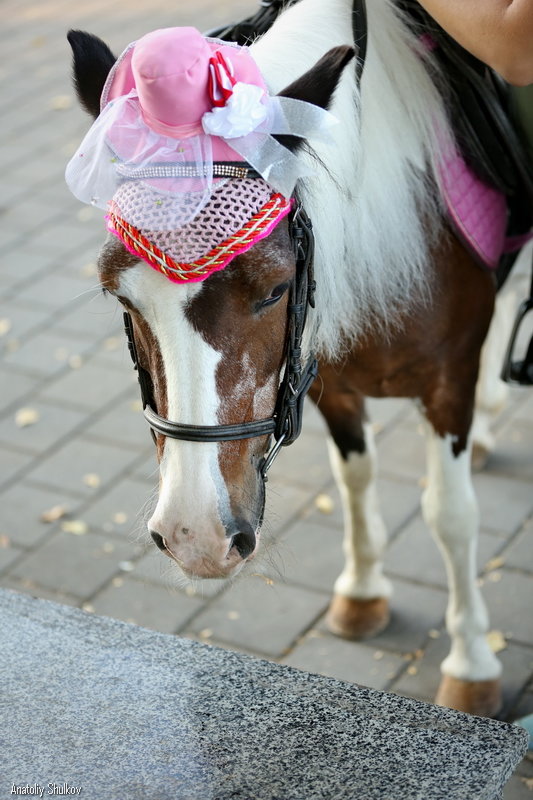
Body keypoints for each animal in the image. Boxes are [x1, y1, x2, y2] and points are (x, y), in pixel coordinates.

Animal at [64, 0, 516, 720]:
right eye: (121, 295)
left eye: (275, 289)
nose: (195, 533)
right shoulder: (324, 383)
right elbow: (353, 477)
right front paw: (362, 590)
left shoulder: (451, 381)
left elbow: (451, 516)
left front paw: (472, 662)